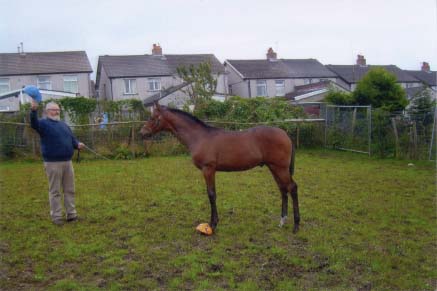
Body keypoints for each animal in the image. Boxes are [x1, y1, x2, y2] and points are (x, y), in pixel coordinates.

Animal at [141, 104, 300, 234]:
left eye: (153, 117)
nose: (142, 133)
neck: (199, 137)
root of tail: (285, 134)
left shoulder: (208, 169)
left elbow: (211, 194)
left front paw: (212, 225)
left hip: (280, 168)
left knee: (292, 188)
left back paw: (296, 226)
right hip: (274, 168)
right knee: (283, 189)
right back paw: (282, 221)